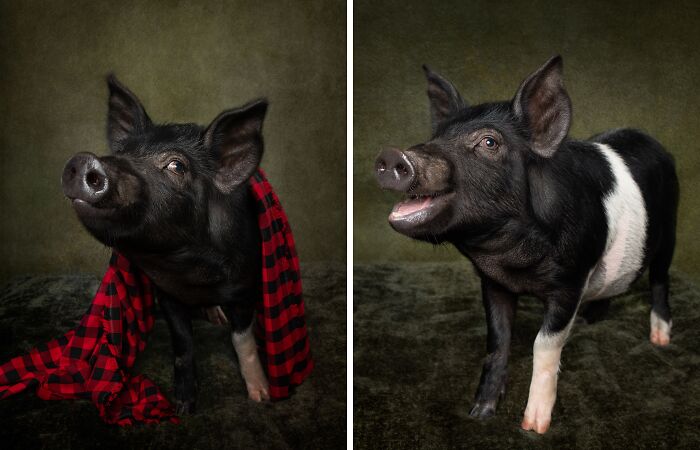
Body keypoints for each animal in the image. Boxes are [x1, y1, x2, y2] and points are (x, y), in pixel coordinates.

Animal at [61, 75, 270, 414]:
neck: (189, 272)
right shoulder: (167, 293)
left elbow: (242, 339)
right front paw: (183, 407)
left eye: (176, 166)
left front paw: (262, 397)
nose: (83, 160)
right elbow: (183, 341)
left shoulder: (245, 285)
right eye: (121, 151)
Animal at [374, 56, 679, 434]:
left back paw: (660, 339)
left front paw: (533, 427)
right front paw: (480, 413)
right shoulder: (492, 282)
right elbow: (498, 341)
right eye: (436, 137)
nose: (392, 155)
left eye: (489, 143)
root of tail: (654, 141)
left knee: (660, 279)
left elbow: (543, 344)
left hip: (670, 231)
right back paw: (592, 319)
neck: (512, 260)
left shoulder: (571, 279)